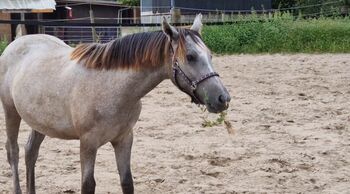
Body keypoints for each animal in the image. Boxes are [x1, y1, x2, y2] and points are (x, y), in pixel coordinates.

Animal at [0, 15, 231, 194]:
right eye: (190, 57)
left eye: (210, 55)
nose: (223, 98)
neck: (112, 86)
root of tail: (17, 42)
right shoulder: (88, 143)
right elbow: (88, 185)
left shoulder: (124, 139)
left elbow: (127, 182)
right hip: (11, 112)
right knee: (14, 152)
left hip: (40, 121)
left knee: (31, 152)